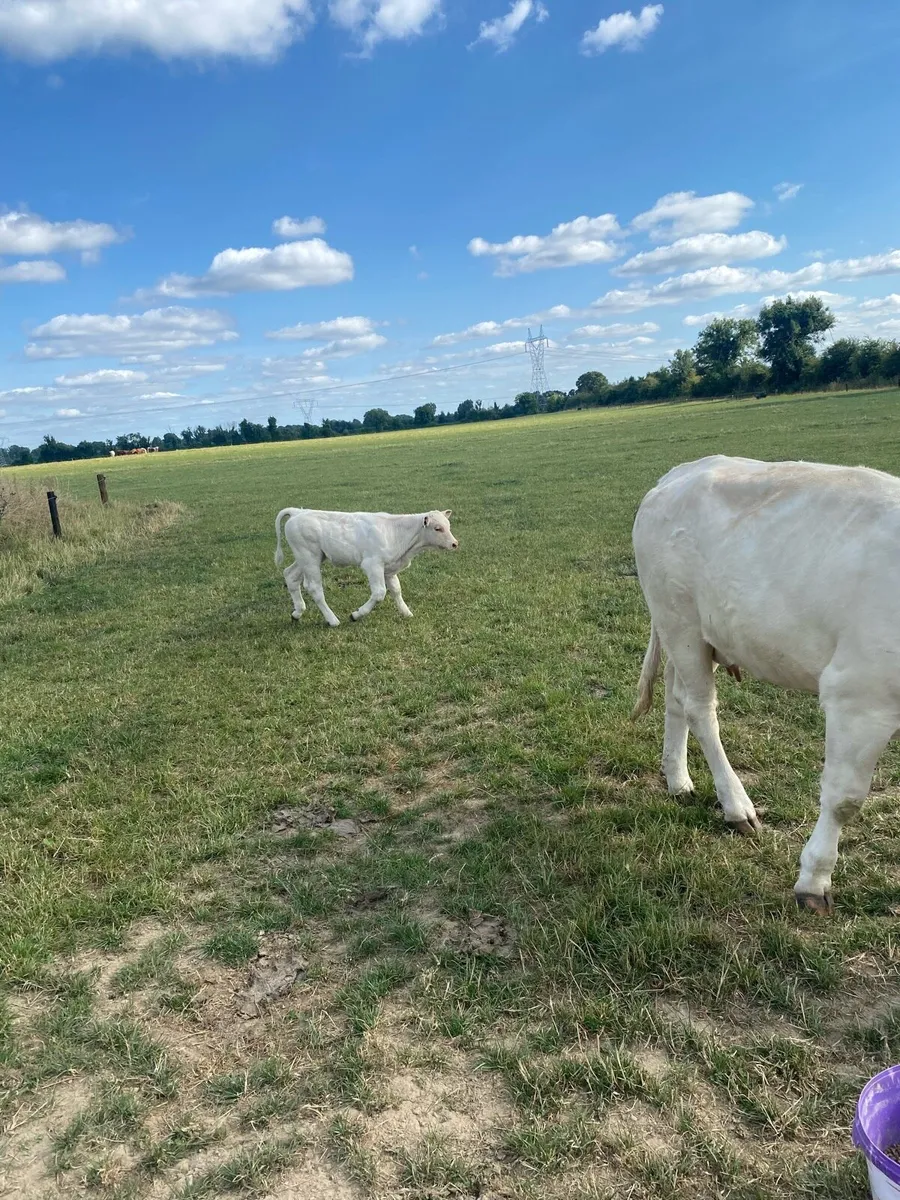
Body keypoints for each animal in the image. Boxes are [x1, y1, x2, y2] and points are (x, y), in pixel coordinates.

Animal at [274, 506, 458, 627]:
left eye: (448, 526)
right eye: (437, 528)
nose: (455, 544)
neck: (396, 532)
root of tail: (298, 512)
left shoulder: (389, 569)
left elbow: (396, 590)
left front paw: (406, 612)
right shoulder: (372, 564)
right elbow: (379, 593)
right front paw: (356, 614)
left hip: (308, 558)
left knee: (290, 576)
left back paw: (297, 612)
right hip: (309, 558)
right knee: (314, 587)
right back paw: (333, 620)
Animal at [631, 454, 900, 915]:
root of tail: (679, 472)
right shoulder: (861, 694)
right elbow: (844, 798)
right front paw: (814, 880)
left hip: (687, 630)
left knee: (675, 696)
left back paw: (677, 780)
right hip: (678, 618)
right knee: (700, 707)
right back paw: (737, 806)